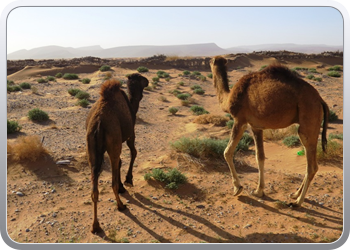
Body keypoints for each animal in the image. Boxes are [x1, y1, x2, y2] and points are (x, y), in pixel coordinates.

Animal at [87, 73, 149, 233]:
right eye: (140, 77)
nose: (147, 80)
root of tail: (99, 124)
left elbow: (121, 162)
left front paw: (123, 185)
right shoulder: (130, 134)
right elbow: (133, 152)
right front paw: (128, 180)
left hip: (91, 147)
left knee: (94, 188)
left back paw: (95, 226)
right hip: (113, 139)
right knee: (113, 179)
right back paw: (120, 205)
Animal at [209, 56, 330, 207]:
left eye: (209, 62)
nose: (208, 63)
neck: (229, 97)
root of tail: (320, 100)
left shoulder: (240, 120)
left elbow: (227, 152)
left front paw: (238, 188)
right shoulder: (256, 126)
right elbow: (260, 156)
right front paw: (259, 191)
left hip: (309, 116)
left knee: (311, 165)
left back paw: (297, 202)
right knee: (311, 161)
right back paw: (295, 194)